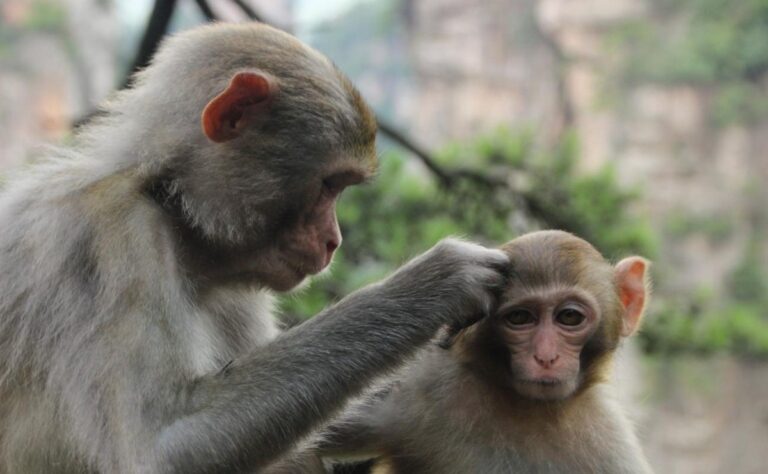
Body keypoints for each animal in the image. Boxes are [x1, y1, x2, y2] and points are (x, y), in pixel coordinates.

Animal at [0, 23, 510, 473]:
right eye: (330, 185)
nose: (333, 241)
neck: (173, 209)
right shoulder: (110, 236)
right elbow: (162, 446)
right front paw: (437, 280)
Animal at [320, 230, 653, 474]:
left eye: (569, 317)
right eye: (520, 318)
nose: (545, 357)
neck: (531, 409)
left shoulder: (611, 447)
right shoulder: (419, 386)